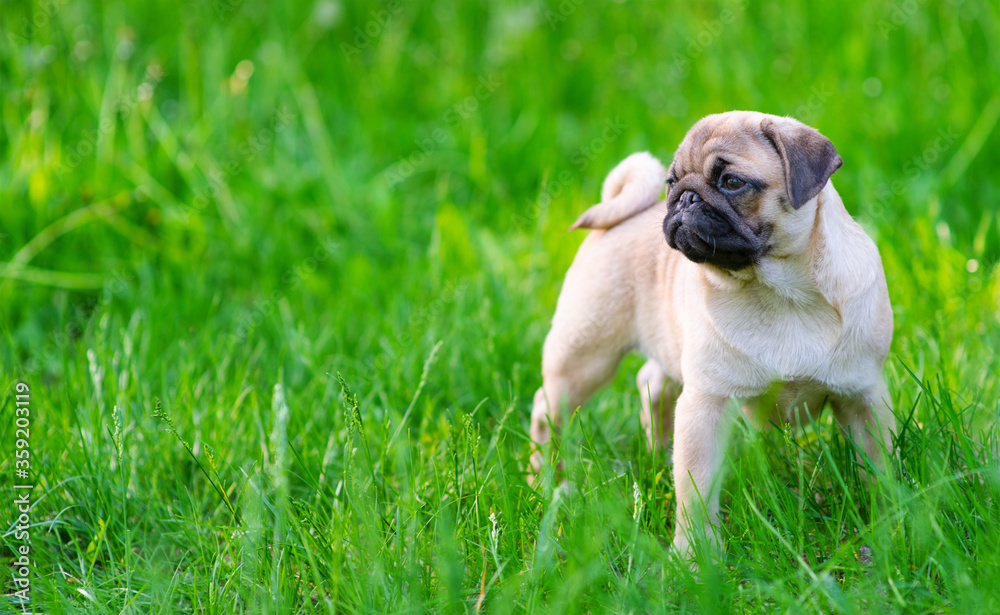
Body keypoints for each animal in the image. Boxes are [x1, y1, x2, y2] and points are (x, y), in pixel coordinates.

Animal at [528, 112, 896, 560]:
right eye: (671, 181)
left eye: (731, 182)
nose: (684, 198)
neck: (780, 292)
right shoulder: (705, 405)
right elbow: (695, 491)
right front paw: (694, 556)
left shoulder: (864, 397)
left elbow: (878, 468)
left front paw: (890, 522)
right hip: (584, 357)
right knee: (547, 410)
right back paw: (548, 483)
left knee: (652, 385)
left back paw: (657, 456)